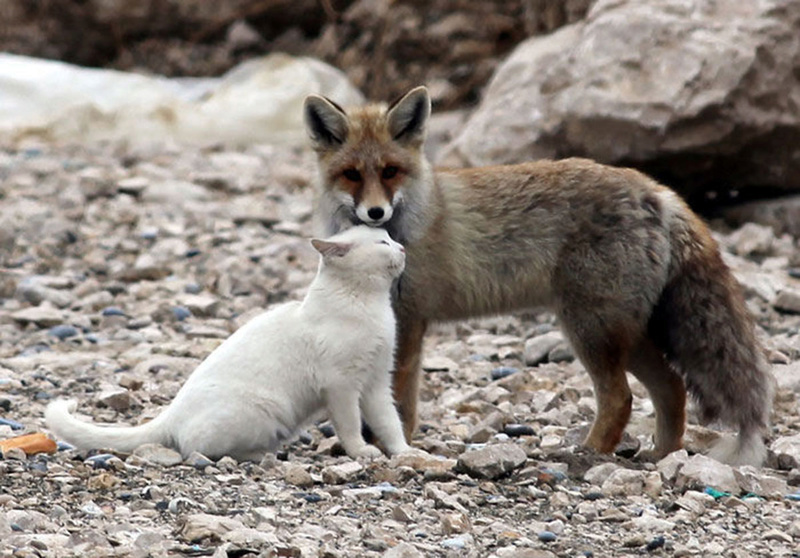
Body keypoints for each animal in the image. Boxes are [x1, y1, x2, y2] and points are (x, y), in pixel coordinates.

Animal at [46, 226, 412, 464]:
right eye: (383, 241)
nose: (403, 247)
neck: (370, 305)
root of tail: (170, 413)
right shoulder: (341, 386)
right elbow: (350, 426)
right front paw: (361, 452)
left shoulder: (377, 383)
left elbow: (389, 423)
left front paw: (405, 453)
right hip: (262, 410)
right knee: (197, 449)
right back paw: (263, 456)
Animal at [304, 85, 776, 466]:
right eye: (351, 175)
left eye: (390, 171)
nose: (376, 213)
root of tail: (657, 190)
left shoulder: (410, 319)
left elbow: (398, 401)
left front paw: (393, 444)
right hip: (624, 332)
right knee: (672, 387)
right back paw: (663, 455)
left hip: (590, 329)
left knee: (621, 398)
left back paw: (589, 454)